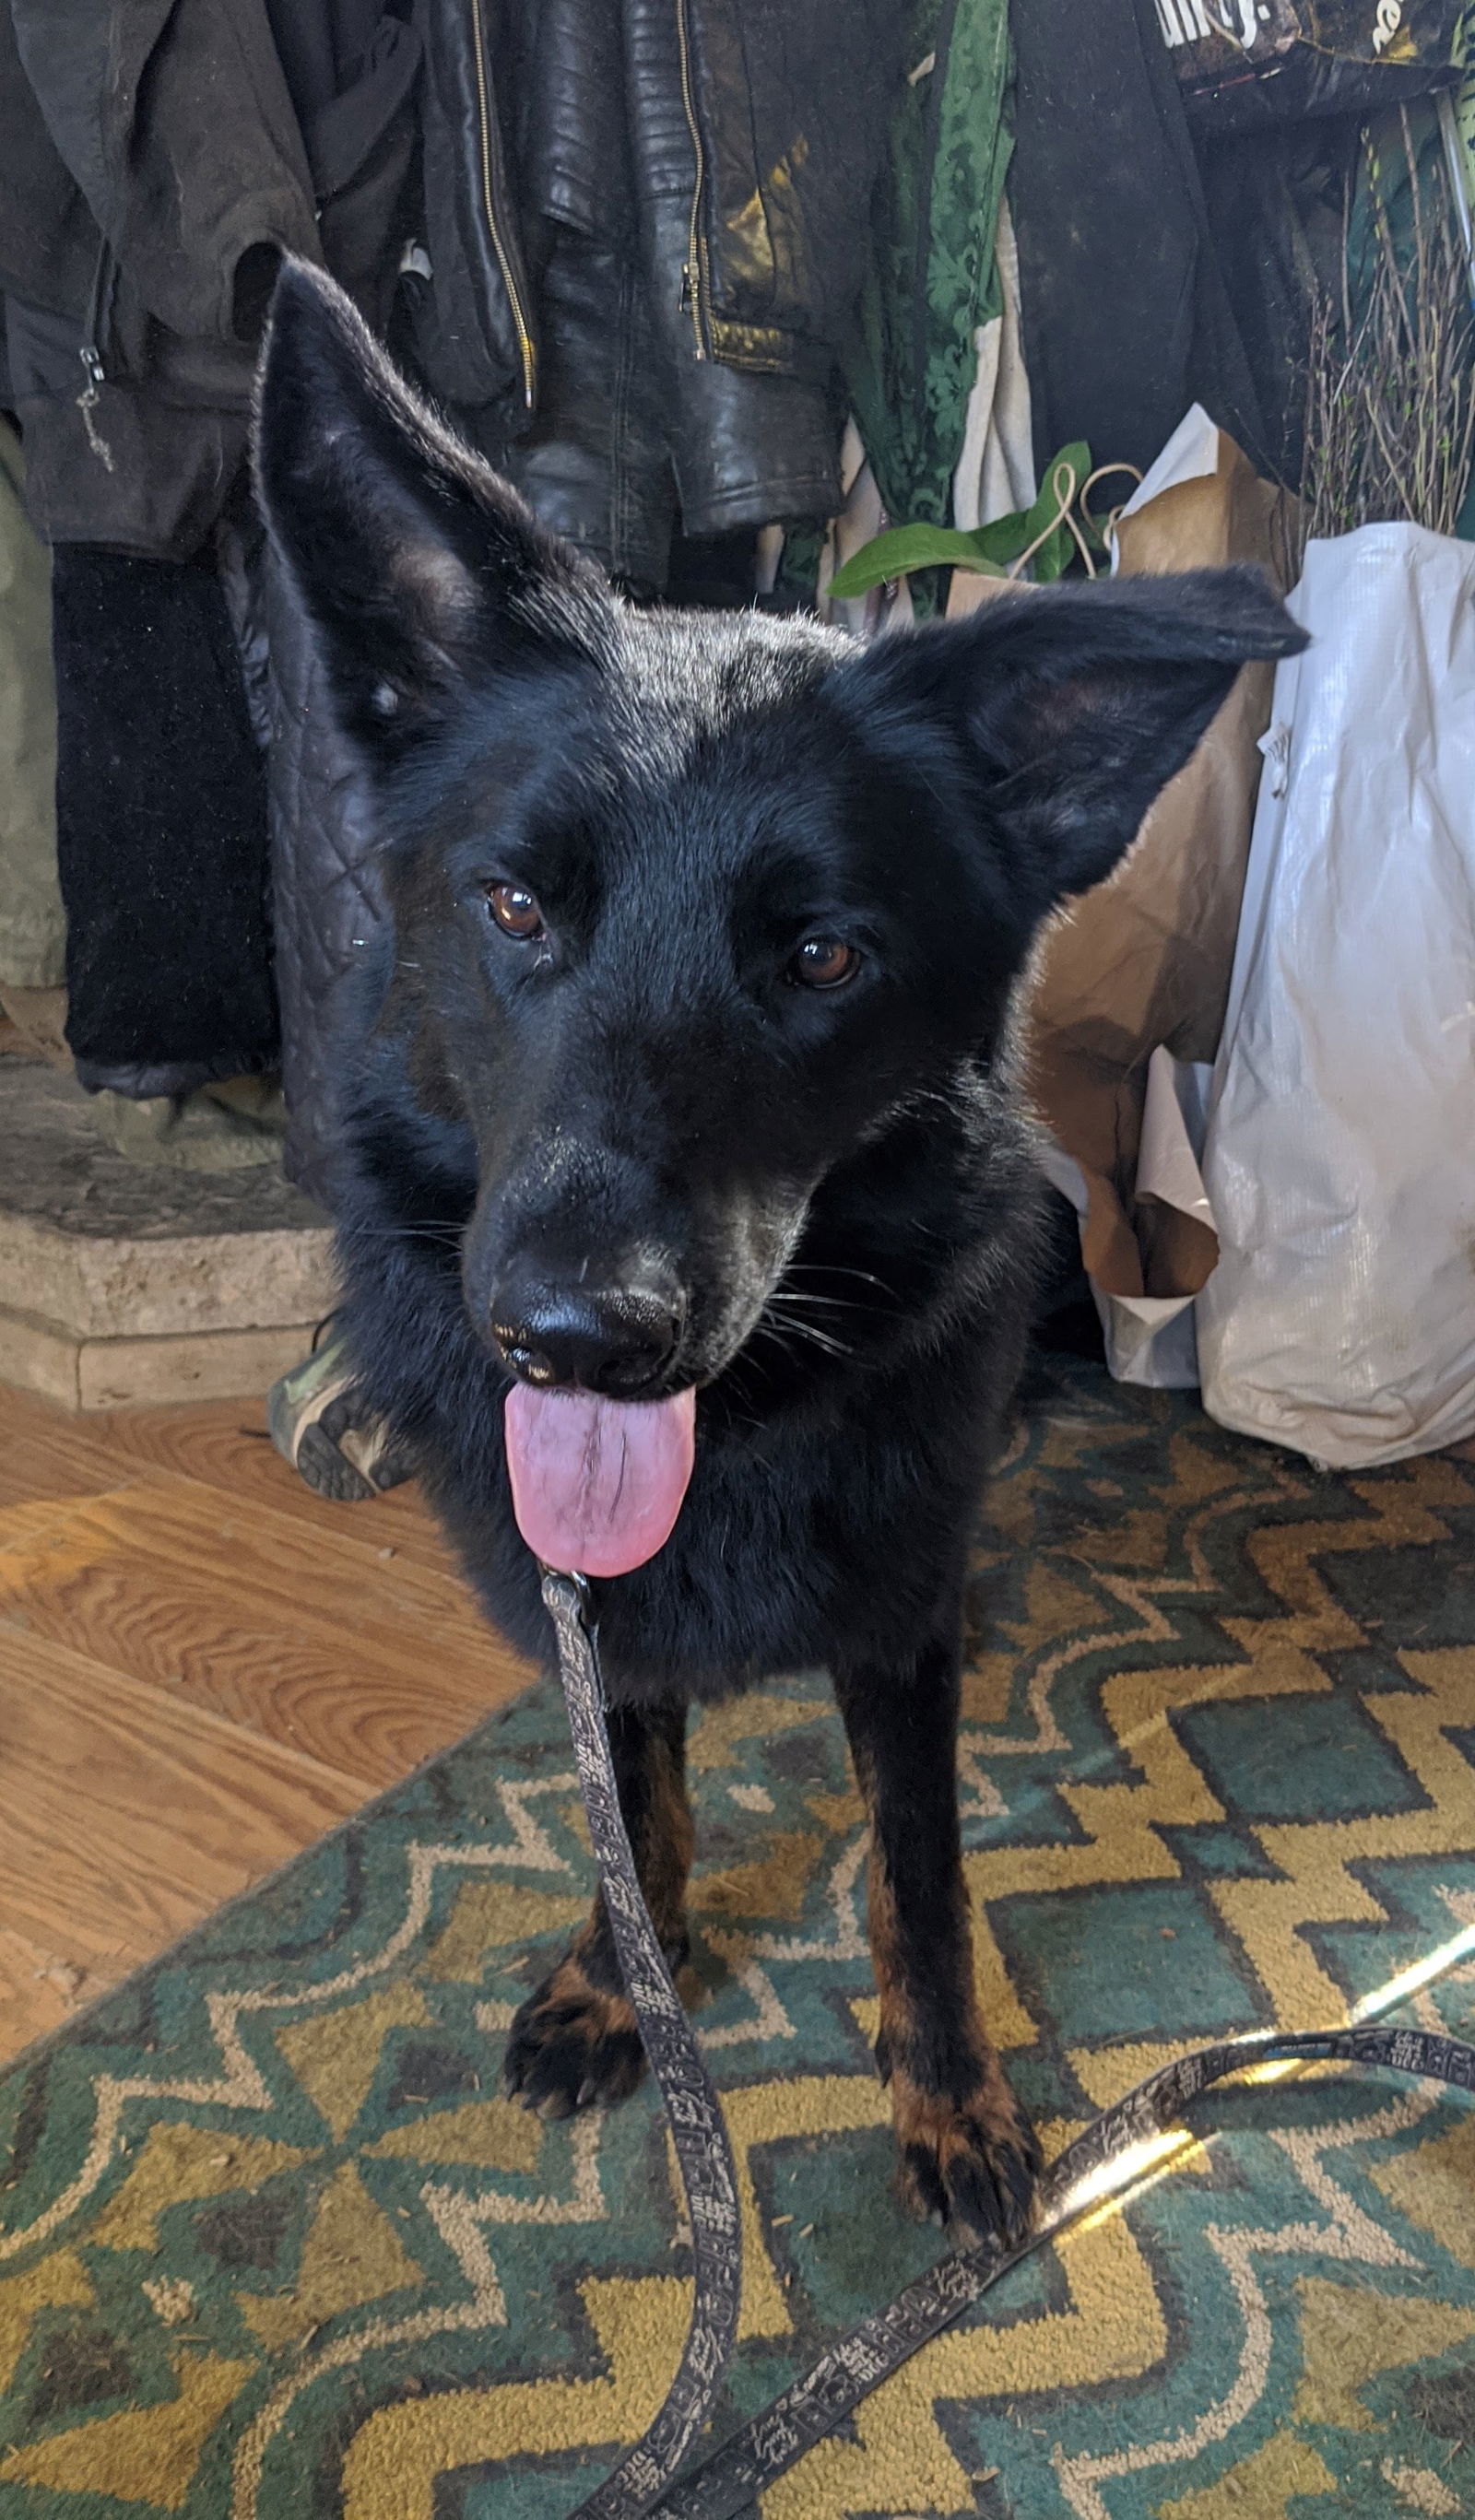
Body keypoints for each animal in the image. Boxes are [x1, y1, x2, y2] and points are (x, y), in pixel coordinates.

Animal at [255, 270, 1301, 2247]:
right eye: (514, 905)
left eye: (822, 956)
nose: (578, 1336)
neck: (739, 1423)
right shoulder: (594, 1620)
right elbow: (638, 1810)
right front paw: (623, 1980)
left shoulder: (898, 1622)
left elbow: (919, 1865)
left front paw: (950, 2088)